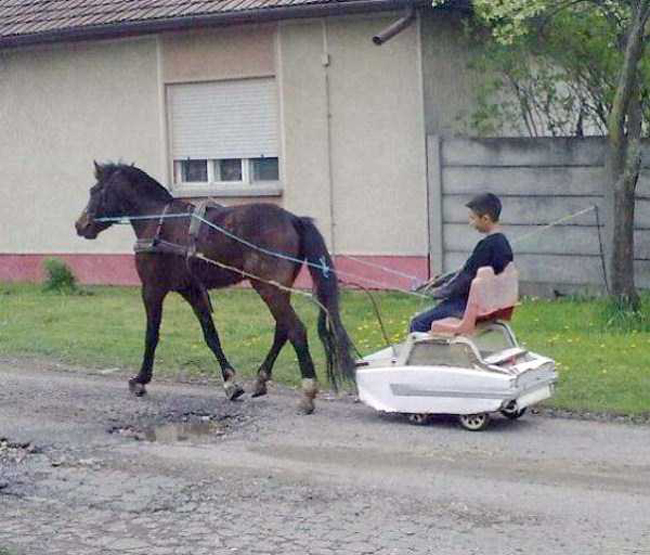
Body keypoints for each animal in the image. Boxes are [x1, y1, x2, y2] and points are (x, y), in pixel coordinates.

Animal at [75, 161, 354, 412]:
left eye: (94, 190)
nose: (80, 225)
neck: (158, 219)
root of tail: (294, 219)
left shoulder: (152, 289)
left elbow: (151, 336)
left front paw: (140, 380)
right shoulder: (192, 291)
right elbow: (211, 335)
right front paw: (230, 382)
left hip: (268, 288)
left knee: (295, 330)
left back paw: (307, 391)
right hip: (275, 289)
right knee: (282, 329)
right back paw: (261, 378)